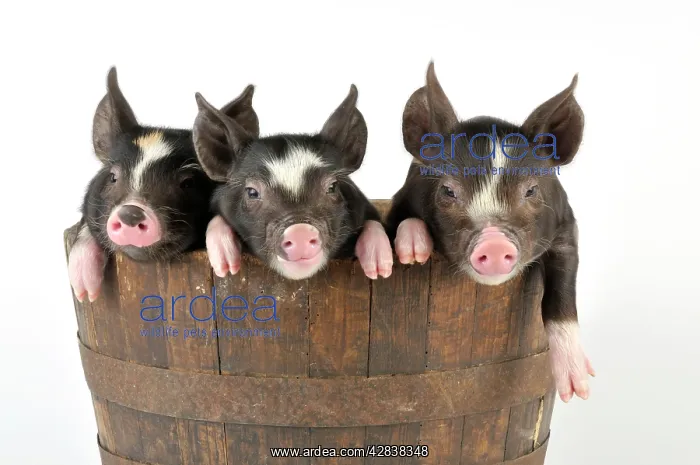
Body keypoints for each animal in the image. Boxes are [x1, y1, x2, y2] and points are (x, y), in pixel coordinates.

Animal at [192, 84, 393, 281]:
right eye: (252, 192)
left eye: (332, 187)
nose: (300, 232)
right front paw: (225, 267)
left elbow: (374, 223)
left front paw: (380, 269)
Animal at [386, 62, 595, 402]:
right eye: (448, 191)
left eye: (531, 190)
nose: (494, 243)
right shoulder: (401, 198)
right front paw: (413, 251)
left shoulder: (566, 227)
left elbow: (563, 291)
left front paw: (578, 388)